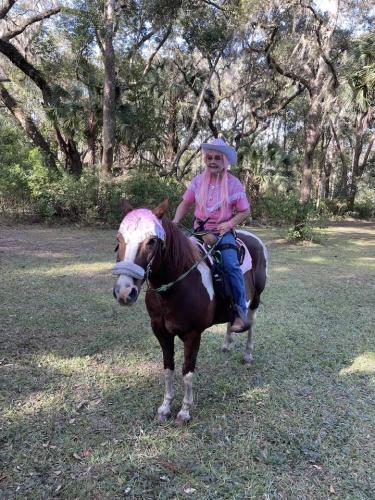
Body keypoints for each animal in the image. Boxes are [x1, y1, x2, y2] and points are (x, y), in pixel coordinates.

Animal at [111, 201, 268, 424]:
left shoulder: (193, 335)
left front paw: (184, 411)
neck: (176, 287)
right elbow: (168, 368)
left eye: (152, 241)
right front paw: (165, 407)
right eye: (119, 239)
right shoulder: (161, 332)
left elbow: (187, 372)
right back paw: (227, 343)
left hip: (255, 299)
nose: (124, 292)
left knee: (251, 324)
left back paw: (247, 355)